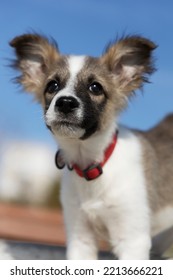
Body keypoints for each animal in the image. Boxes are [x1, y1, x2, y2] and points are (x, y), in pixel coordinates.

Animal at [9, 34, 173, 260]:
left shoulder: (132, 239)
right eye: (52, 86)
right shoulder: (80, 237)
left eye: (95, 87)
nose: (65, 103)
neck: (93, 164)